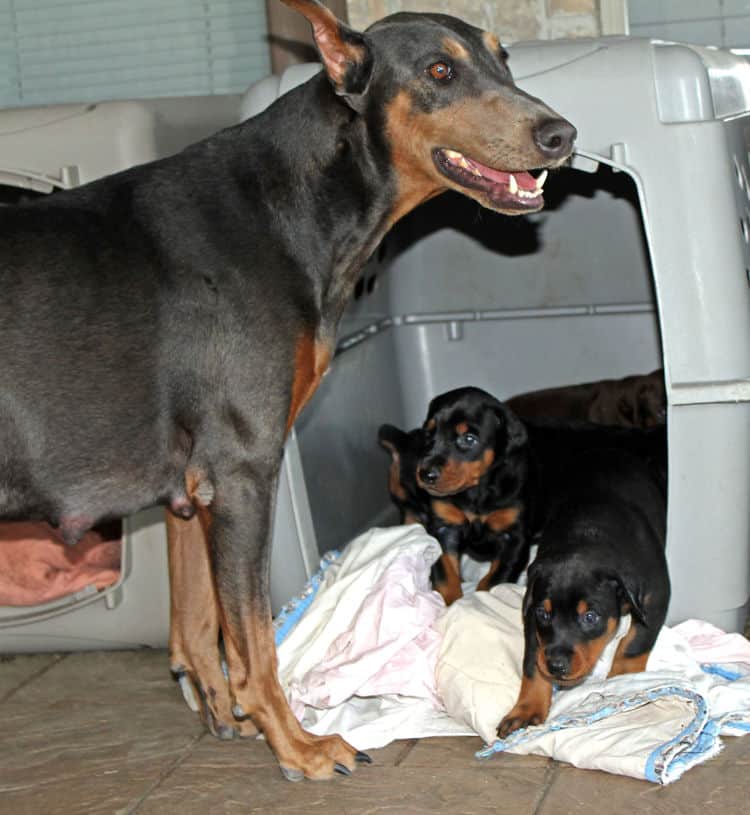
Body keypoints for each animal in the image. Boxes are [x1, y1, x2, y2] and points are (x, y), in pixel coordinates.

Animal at [0, 0, 576, 780]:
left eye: (503, 58)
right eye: (438, 71)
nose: (562, 135)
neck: (300, 201)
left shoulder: (190, 487)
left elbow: (199, 621)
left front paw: (224, 712)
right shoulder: (243, 467)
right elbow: (253, 642)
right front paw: (299, 744)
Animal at [500, 446, 668, 740]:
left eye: (590, 617)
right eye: (545, 614)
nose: (556, 666)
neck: (588, 535)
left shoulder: (655, 597)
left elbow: (634, 644)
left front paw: (623, 681)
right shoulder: (532, 612)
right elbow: (532, 663)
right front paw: (526, 709)